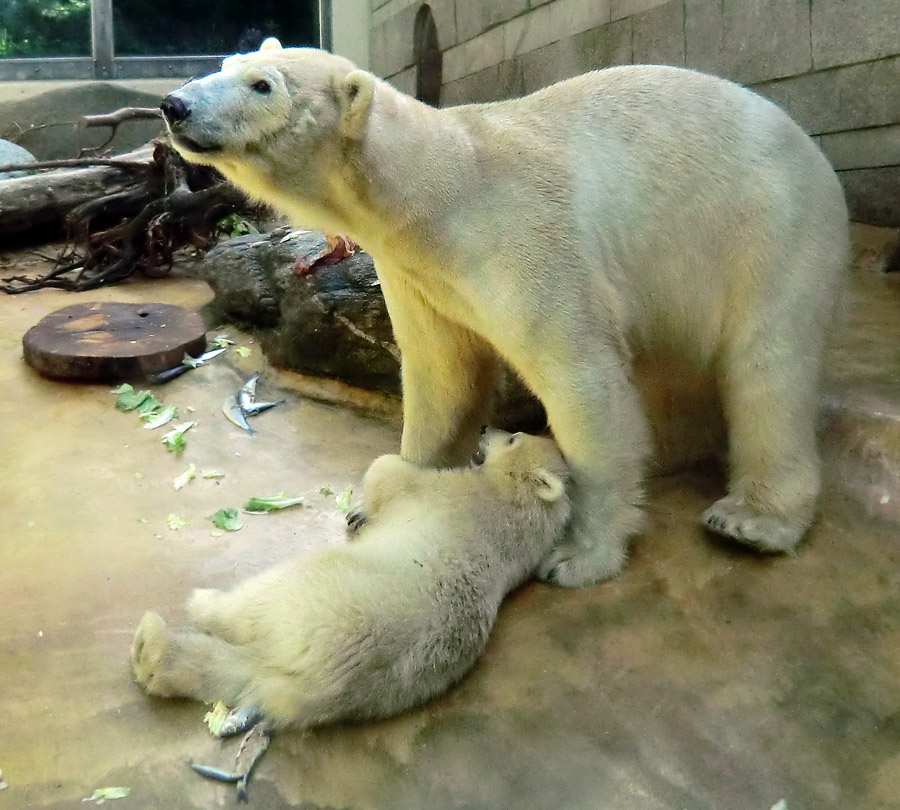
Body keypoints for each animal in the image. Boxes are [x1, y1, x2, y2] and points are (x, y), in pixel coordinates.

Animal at [163, 39, 852, 580]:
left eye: (262, 84)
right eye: (226, 64)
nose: (175, 104)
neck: (440, 191)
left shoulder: (526, 239)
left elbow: (581, 380)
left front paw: (579, 555)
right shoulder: (417, 275)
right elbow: (442, 378)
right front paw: (382, 499)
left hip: (767, 229)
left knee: (769, 366)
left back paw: (752, 519)